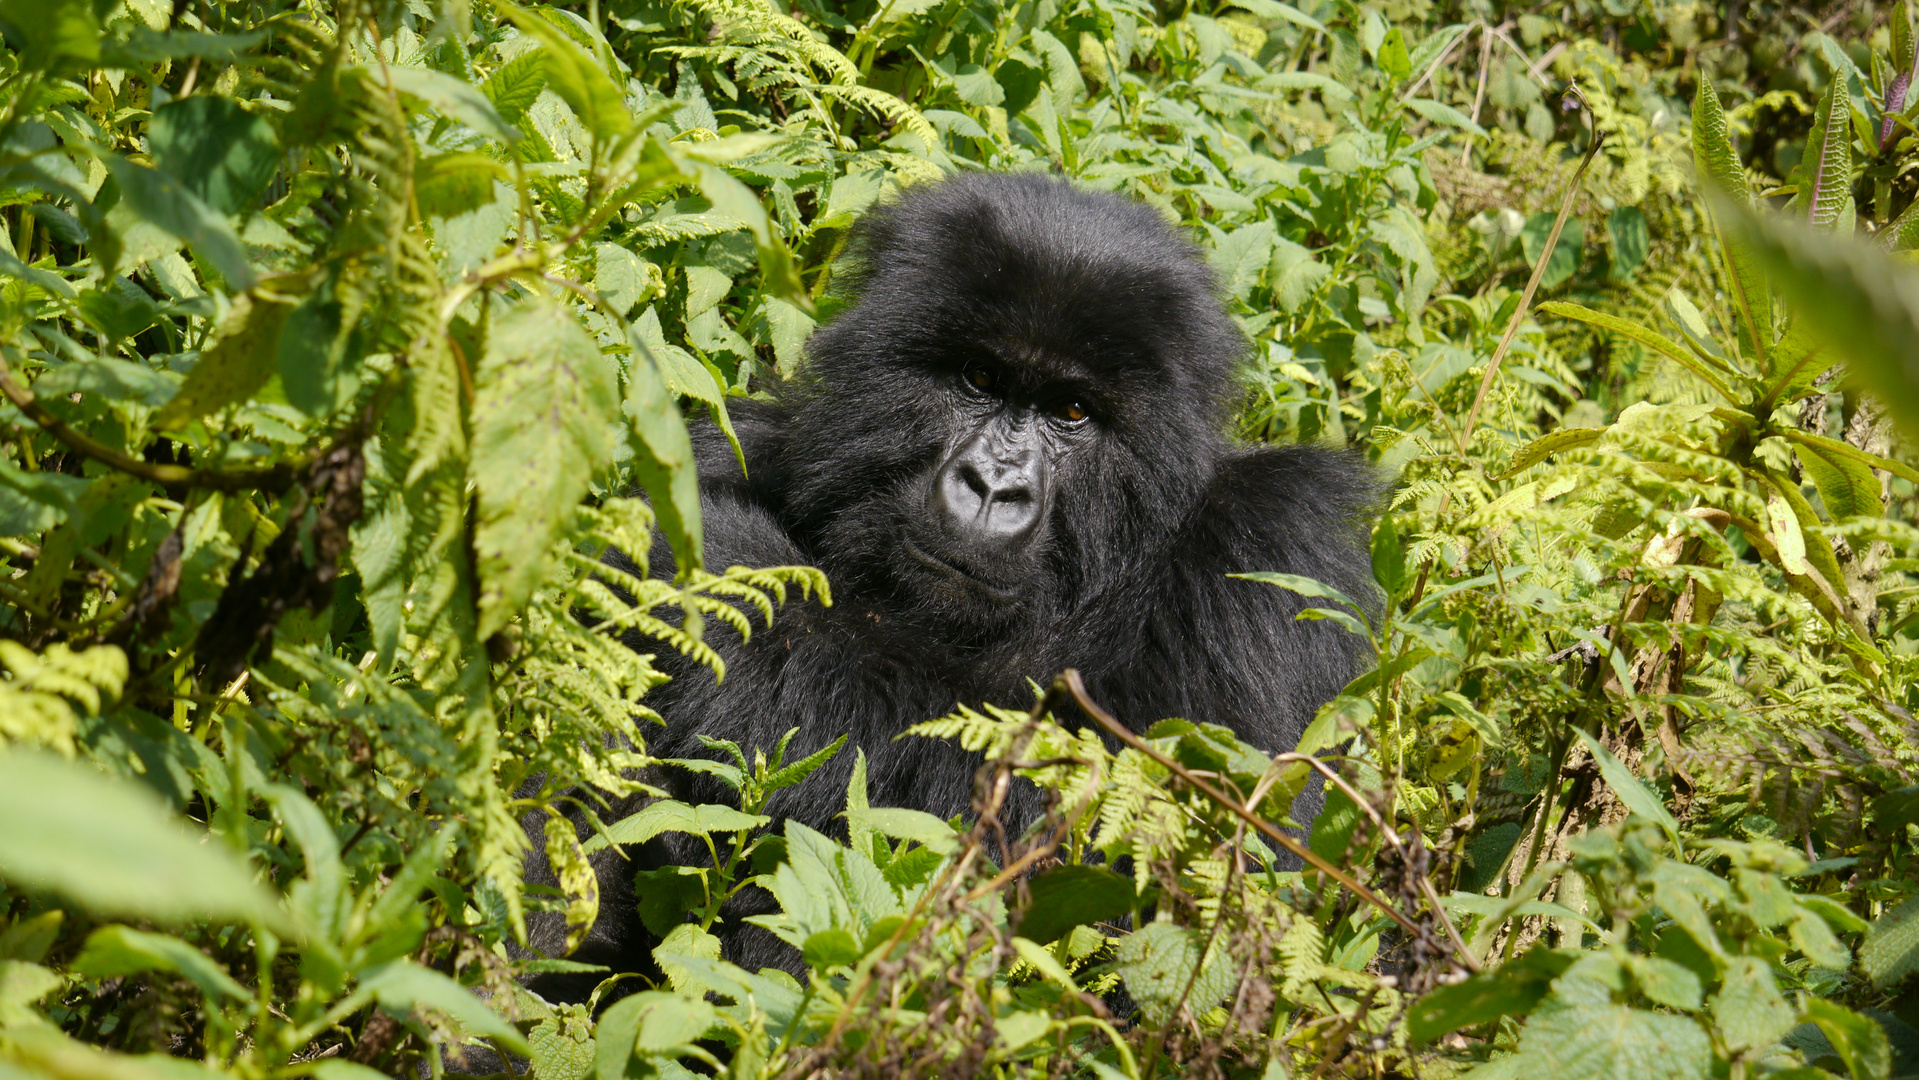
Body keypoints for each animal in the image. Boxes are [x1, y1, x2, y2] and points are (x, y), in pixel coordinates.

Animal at [525, 170, 1381, 997]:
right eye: (979, 377)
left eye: (1072, 411)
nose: (992, 487)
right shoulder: (753, 443)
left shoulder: (1271, 557)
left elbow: (1139, 875)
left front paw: (715, 568)